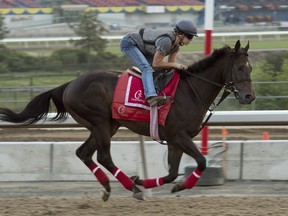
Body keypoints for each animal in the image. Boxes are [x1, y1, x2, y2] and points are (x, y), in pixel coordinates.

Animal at [1, 40, 255, 201]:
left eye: (251, 68)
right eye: (240, 67)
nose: (249, 97)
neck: (190, 91)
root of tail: (69, 84)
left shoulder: (174, 140)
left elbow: (172, 173)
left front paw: (151, 181)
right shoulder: (179, 135)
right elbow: (201, 162)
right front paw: (173, 185)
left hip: (106, 125)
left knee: (84, 153)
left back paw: (109, 187)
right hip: (101, 123)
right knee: (103, 156)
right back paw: (131, 188)